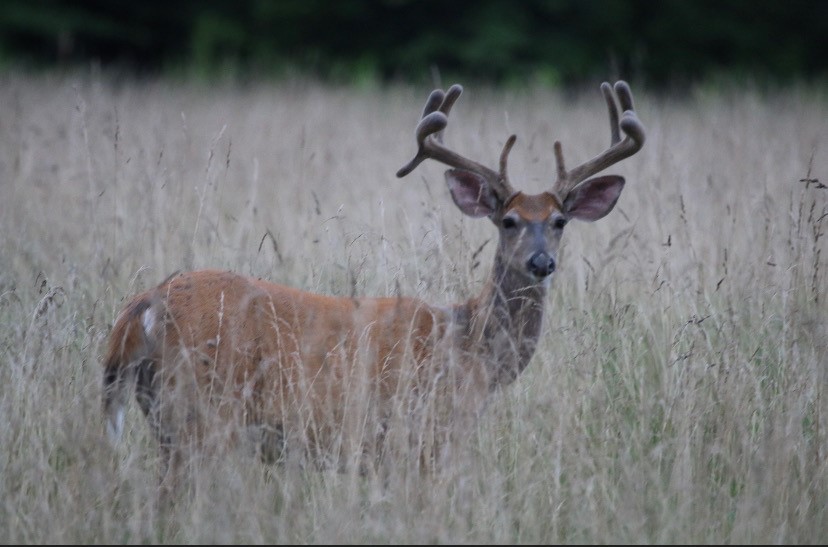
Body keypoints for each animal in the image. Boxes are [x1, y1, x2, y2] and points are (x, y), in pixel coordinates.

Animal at [102, 81, 645, 490]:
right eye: (509, 221)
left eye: (559, 221)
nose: (541, 262)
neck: (471, 350)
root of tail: (142, 305)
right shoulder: (425, 438)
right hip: (199, 412)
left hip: (163, 414)